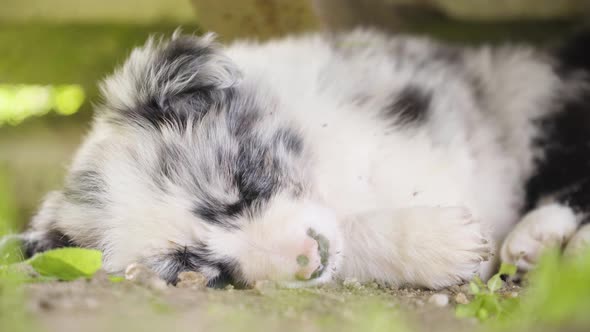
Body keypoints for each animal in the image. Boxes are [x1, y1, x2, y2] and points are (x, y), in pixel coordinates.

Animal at [9, 28, 590, 288]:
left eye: (242, 184)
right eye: (194, 268)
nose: (308, 259)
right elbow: (347, 233)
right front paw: (442, 244)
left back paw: (543, 236)